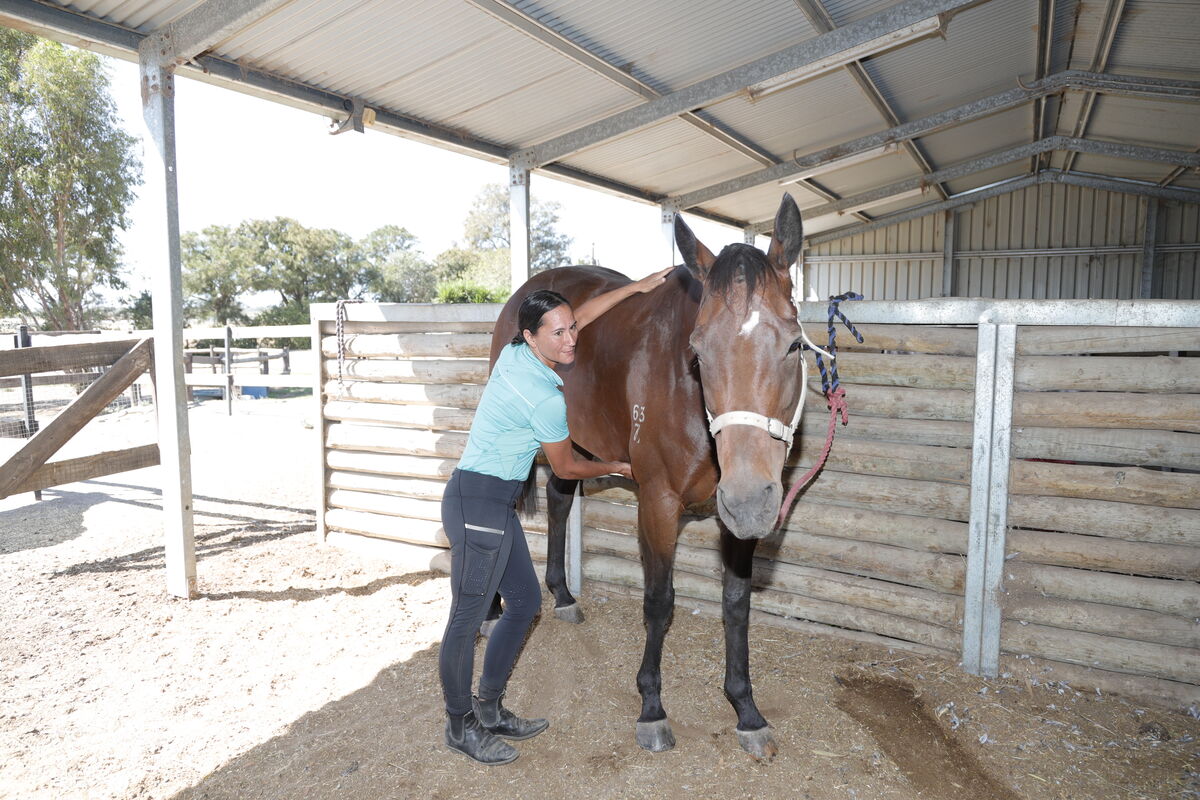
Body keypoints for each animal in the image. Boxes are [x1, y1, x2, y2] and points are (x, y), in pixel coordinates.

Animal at [490, 194, 808, 760]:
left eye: (794, 345)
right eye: (697, 351)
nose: (751, 501)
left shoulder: (736, 518)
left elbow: (736, 606)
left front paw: (745, 709)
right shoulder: (657, 504)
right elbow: (659, 602)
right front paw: (652, 707)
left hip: (575, 440)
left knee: (558, 498)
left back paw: (563, 595)